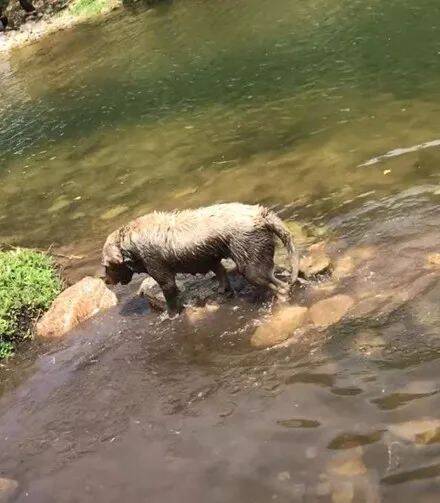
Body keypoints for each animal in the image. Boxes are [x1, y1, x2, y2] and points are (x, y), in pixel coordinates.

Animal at [102, 204, 300, 316]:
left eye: (106, 266)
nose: (104, 280)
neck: (130, 243)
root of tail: (262, 215)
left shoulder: (158, 269)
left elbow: (170, 296)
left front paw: (170, 316)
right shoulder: (210, 258)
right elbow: (220, 271)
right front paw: (223, 289)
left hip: (251, 266)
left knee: (281, 287)